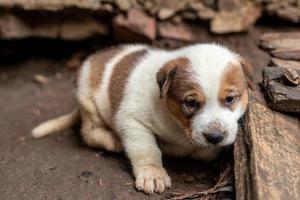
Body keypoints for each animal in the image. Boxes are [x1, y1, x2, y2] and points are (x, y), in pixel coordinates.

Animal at [32, 43, 253, 194]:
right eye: (191, 103)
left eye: (230, 99)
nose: (215, 137)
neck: (178, 125)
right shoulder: (132, 120)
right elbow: (146, 149)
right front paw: (152, 173)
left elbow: (204, 153)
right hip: (88, 101)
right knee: (88, 132)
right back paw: (112, 140)